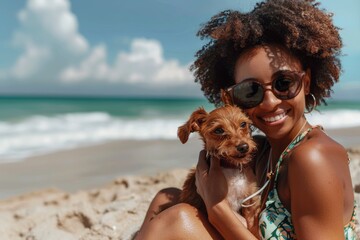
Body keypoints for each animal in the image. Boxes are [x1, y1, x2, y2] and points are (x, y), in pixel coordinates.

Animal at [179, 93, 260, 235]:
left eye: (243, 124)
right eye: (218, 130)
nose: (244, 147)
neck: (231, 168)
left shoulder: (250, 202)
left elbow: (253, 228)